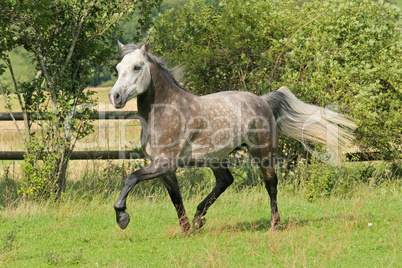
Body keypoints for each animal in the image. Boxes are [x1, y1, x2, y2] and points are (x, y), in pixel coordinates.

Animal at [108, 39, 354, 232]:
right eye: (118, 68)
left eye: (137, 67)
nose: (115, 96)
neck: (166, 111)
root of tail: (263, 100)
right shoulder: (164, 168)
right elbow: (175, 198)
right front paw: (186, 229)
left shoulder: (166, 163)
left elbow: (131, 178)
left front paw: (122, 217)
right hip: (215, 157)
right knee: (225, 181)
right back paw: (199, 219)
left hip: (262, 152)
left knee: (271, 183)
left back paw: (274, 225)